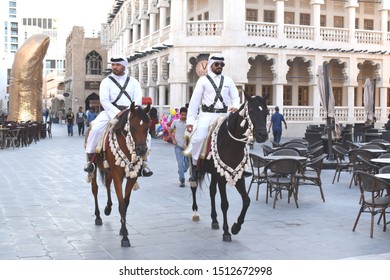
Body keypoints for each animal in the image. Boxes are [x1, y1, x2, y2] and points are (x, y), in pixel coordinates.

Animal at [89, 101, 150, 246]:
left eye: (147, 127)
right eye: (132, 127)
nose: (141, 150)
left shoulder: (132, 177)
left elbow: (125, 203)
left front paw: (123, 230)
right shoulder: (118, 176)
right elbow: (121, 204)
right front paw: (125, 237)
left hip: (108, 171)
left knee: (107, 184)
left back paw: (108, 208)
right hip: (94, 167)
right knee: (95, 189)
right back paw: (98, 216)